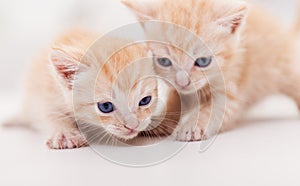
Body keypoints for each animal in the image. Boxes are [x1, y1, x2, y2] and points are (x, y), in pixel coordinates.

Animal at [5, 29, 178, 149]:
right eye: (105, 107)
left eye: (145, 100)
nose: (132, 125)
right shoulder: (48, 89)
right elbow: (49, 113)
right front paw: (65, 133)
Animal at [122, 0, 300, 141]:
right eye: (164, 61)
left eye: (203, 61)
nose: (182, 82)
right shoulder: (179, 91)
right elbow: (175, 103)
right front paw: (160, 121)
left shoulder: (232, 87)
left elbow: (213, 109)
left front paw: (192, 125)